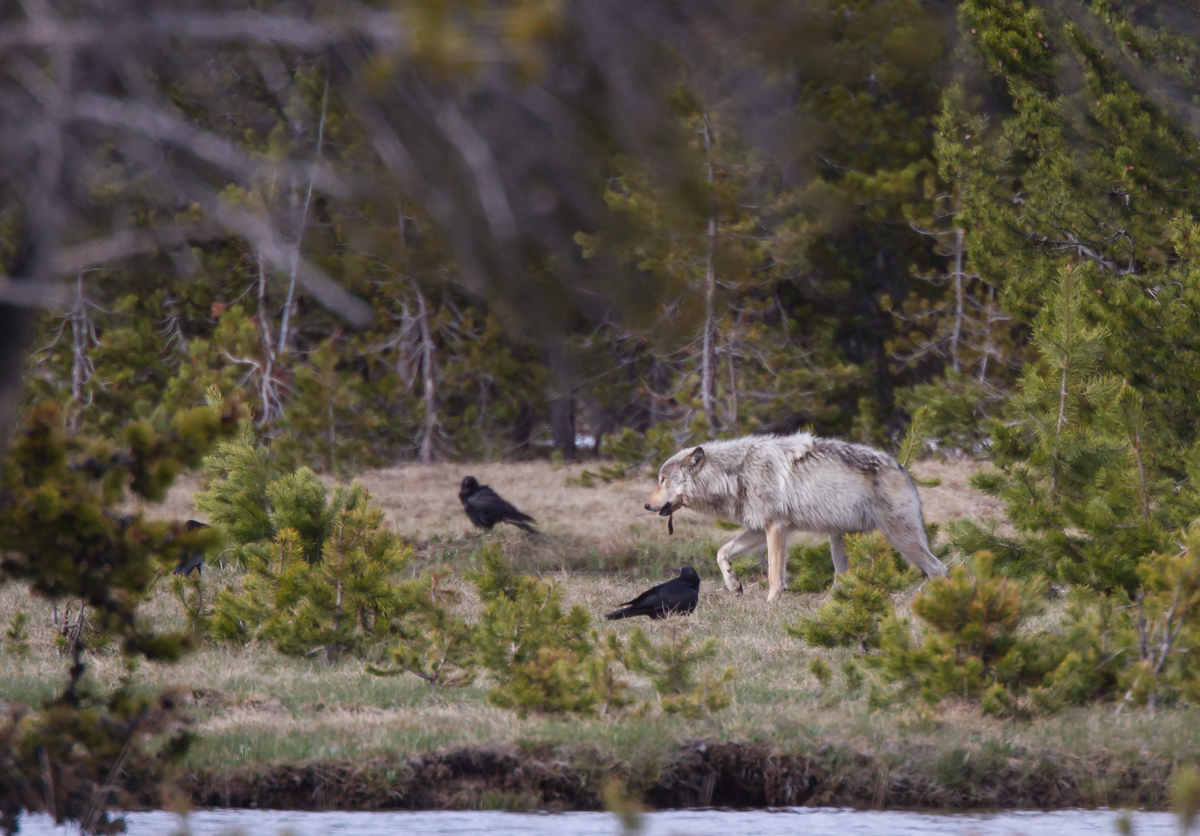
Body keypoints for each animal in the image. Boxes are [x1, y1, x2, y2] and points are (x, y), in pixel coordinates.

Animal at [643, 433, 948, 601]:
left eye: (662, 479)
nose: (646, 505)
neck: (736, 473)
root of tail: (901, 467)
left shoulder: (776, 527)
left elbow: (775, 576)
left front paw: (771, 603)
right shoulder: (758, 527)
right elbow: (722, 553)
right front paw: (734, 584)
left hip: (900, 537)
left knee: (938, 569)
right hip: (839, 543)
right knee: (843, 581)